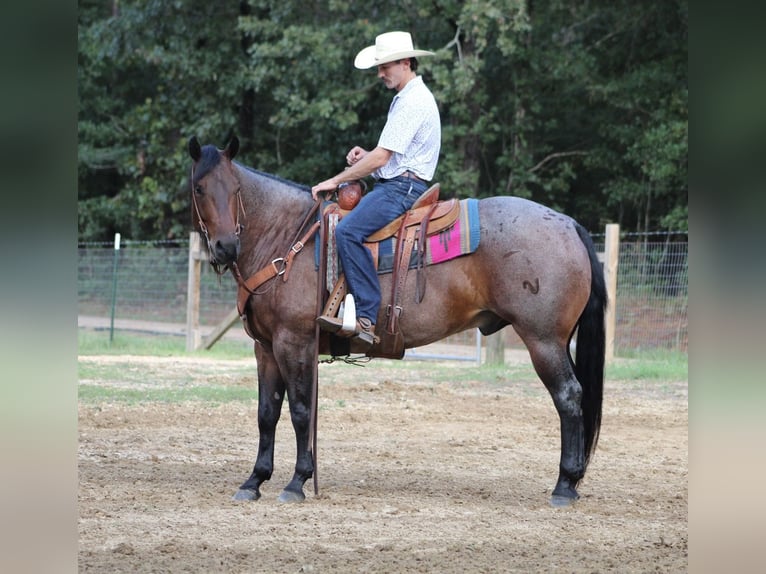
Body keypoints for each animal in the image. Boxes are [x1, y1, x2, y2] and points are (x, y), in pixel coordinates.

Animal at [186, 136, 608, 508]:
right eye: (200, 188)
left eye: (235, 188)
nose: (225, 247)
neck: (287, 238)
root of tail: (567, 224)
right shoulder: (266, 347)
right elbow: (267, 413)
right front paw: (254, 481)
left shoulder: (295, 342)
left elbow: (301, 410)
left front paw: (297, 482)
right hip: (557, 341)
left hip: (543, 340)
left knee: (569, 396)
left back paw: (564, 485)